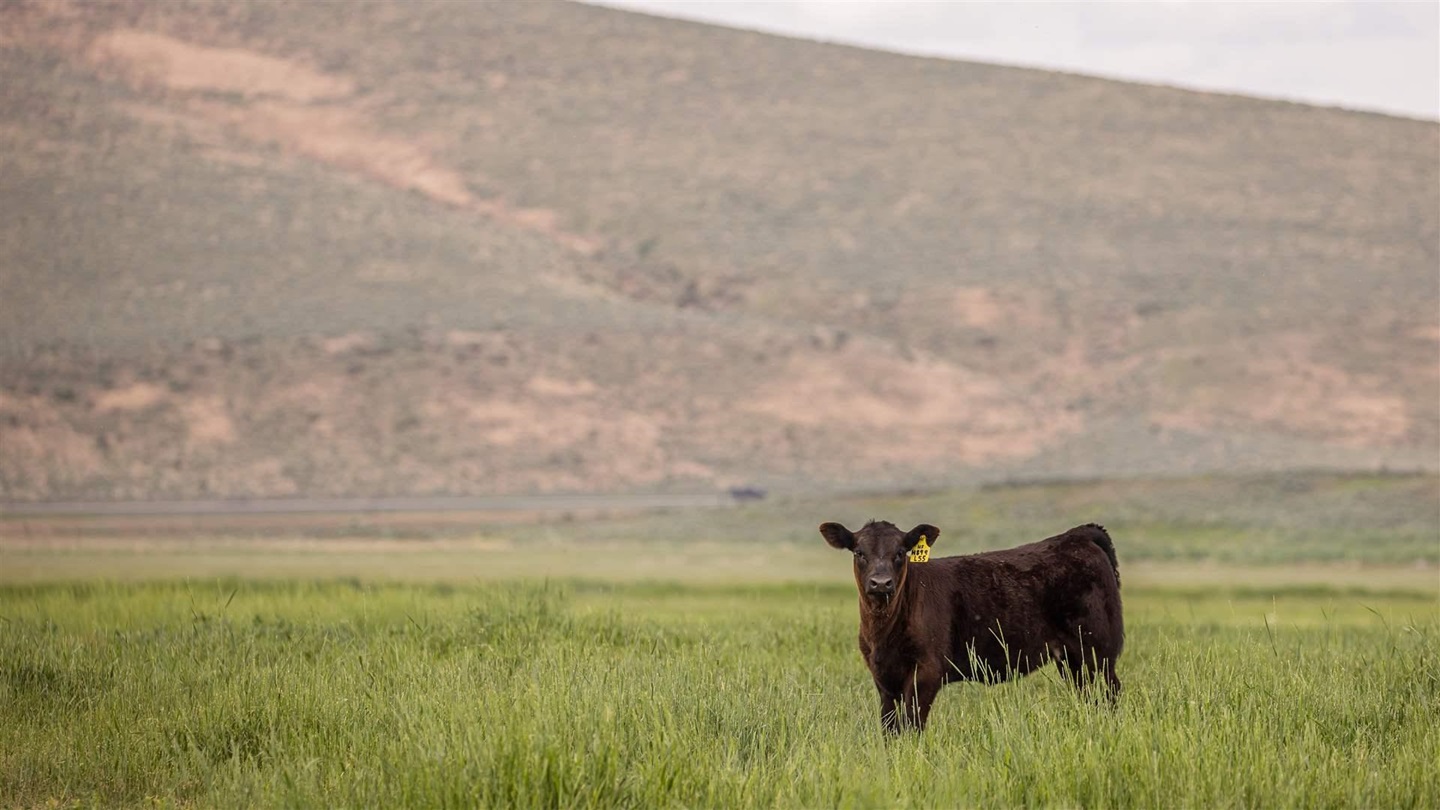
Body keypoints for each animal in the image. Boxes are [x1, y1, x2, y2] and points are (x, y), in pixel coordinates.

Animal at [818, 520, 1123, 733]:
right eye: (859, 552)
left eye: (901, 552)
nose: (881, 583)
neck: (883, 632)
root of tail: (1078, 535)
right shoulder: (883, 677)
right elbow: (890, 728)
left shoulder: (926, 672)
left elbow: (912, 726)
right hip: (1072, 659)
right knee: (1088, 696)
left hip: (1098, 651)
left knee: (1110, 694)